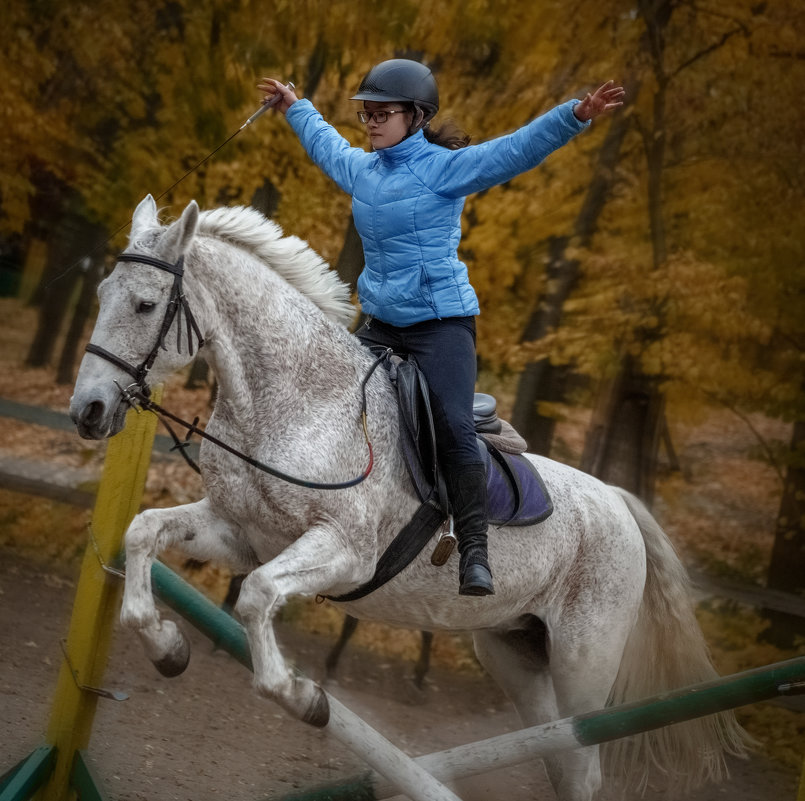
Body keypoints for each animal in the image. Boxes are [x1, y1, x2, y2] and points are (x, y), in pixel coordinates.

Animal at [70, 197, 748, 800]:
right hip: (516, 653)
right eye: (100, 294)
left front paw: (304, 697)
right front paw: (166, 647)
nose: (88, 412)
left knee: (583, 766)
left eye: (145, 303)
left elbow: (259, 595)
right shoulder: (239, 534)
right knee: (559, 759)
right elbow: (143, 531)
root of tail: (614, 498)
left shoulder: (344, 553)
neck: (296, 403)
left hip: (584, 662)